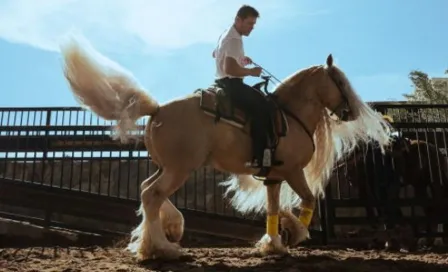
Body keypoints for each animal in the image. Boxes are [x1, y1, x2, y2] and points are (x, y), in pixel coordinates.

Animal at [58, 35, 392, 260]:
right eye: (339, 81)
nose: (351, 112)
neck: (290, 113)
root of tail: (157, 109)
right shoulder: (293, 171)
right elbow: (309, 199)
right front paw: (297, 234)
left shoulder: (273, 176)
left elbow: (273, 207)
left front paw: (274, 243)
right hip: (180, 169)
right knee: (152, 195)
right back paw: (163, 248)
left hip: (168, 167)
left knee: (145, 189)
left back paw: (166, 234)